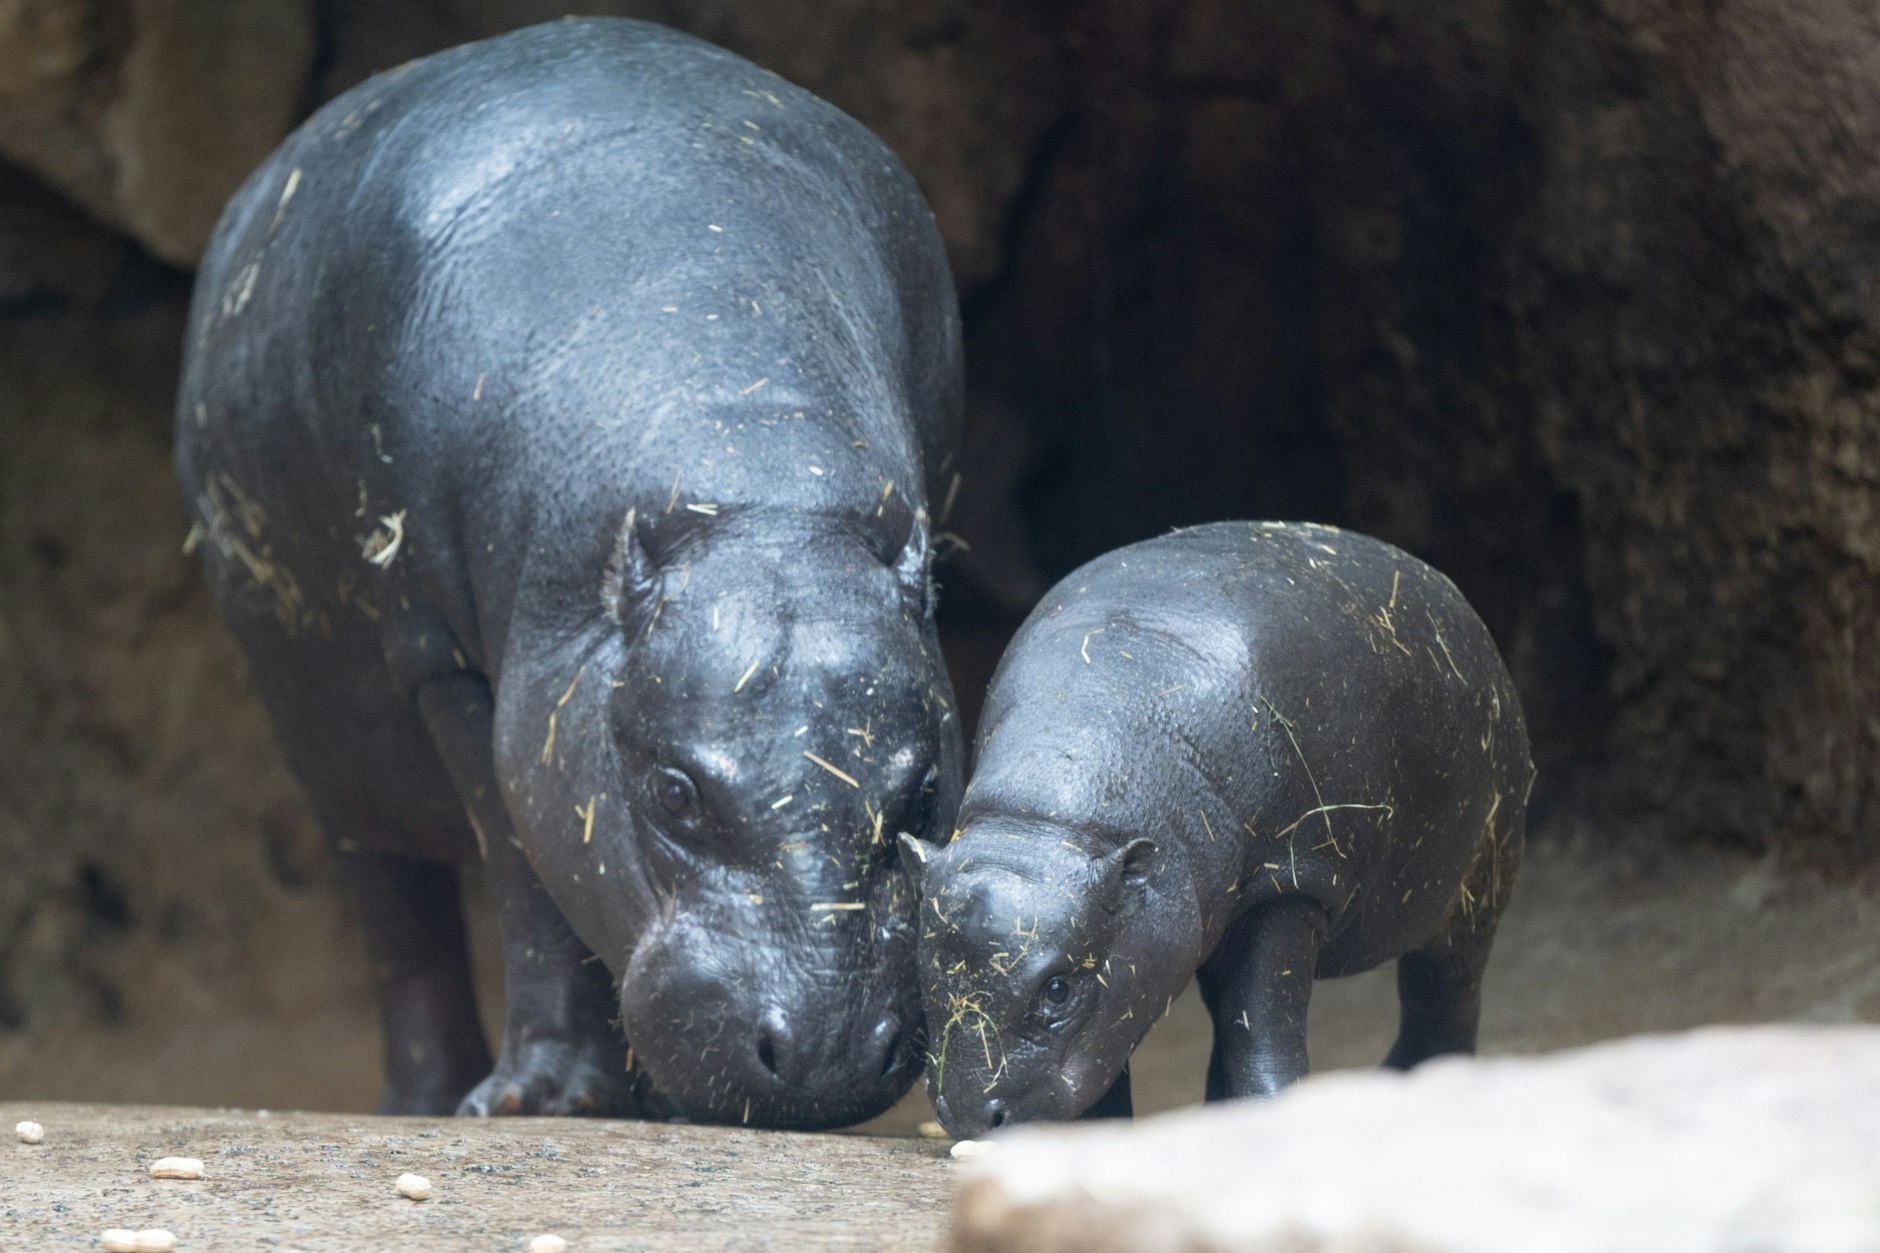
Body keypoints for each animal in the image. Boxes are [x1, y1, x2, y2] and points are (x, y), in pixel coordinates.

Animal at [175, 17, 964, 1129]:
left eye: (925, 785)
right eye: (674, 791)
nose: (829, 1050)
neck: (756, 499)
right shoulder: (447, 663)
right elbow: (522, 874)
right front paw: (537, 1098)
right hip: (325, 731)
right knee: (395, 906)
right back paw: (427, 1097)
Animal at [903, 522, 1531, 1137]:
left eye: (1058, 988)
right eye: (924, 970)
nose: (968, 1115)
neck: (1047, 823)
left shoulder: (1291, 885)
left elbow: (1262, 1025)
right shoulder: (1138, 945)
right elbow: (1130, 1046)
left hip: (1479, 883)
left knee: (1442, 989)